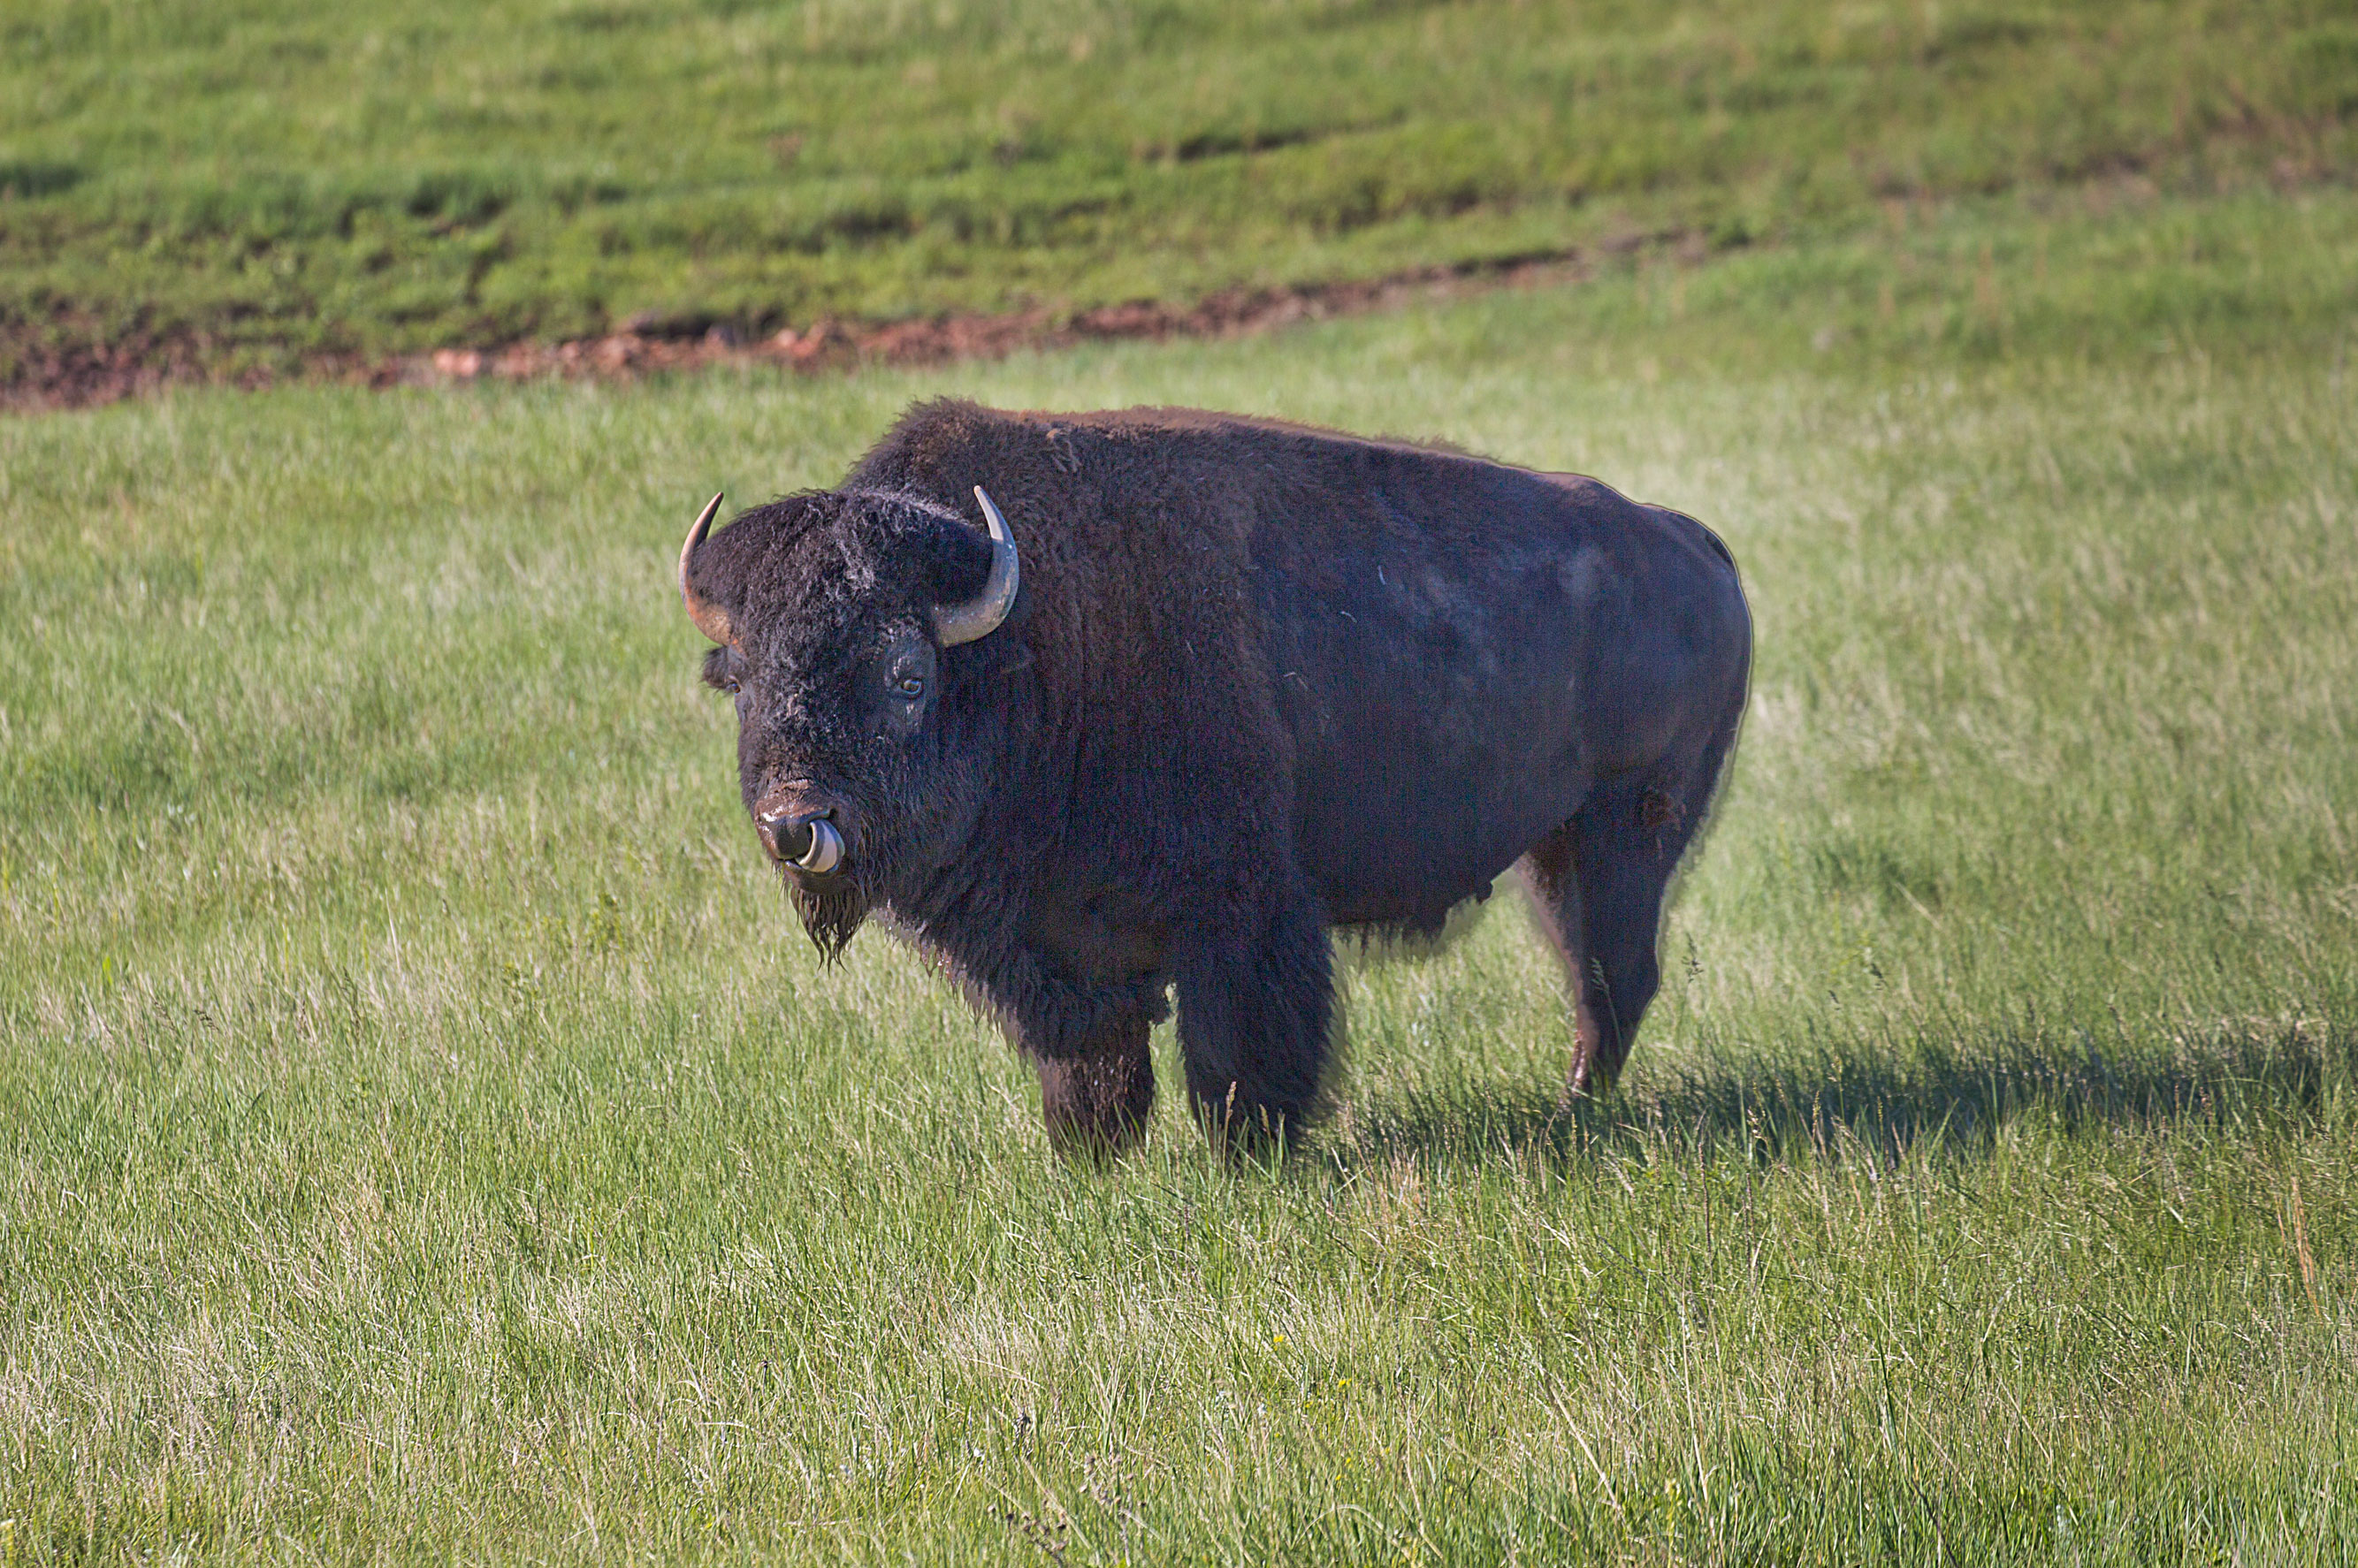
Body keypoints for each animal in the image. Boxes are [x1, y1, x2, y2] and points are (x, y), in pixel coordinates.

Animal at [678, 400, 1751, 1153]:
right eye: (745, 677)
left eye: (907, 673)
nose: (797, 822)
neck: (1038, 635)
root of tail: (1695, 544)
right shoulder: (1058, 952)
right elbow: (1095, 1061)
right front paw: (1091, 1156)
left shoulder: (1243, 915)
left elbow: (1240, 1052)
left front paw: (1252, 1153)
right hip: (1557, 850)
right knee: (1601, 978)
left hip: (1626, 835)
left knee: (1611, 979)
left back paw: (1573, 1116)